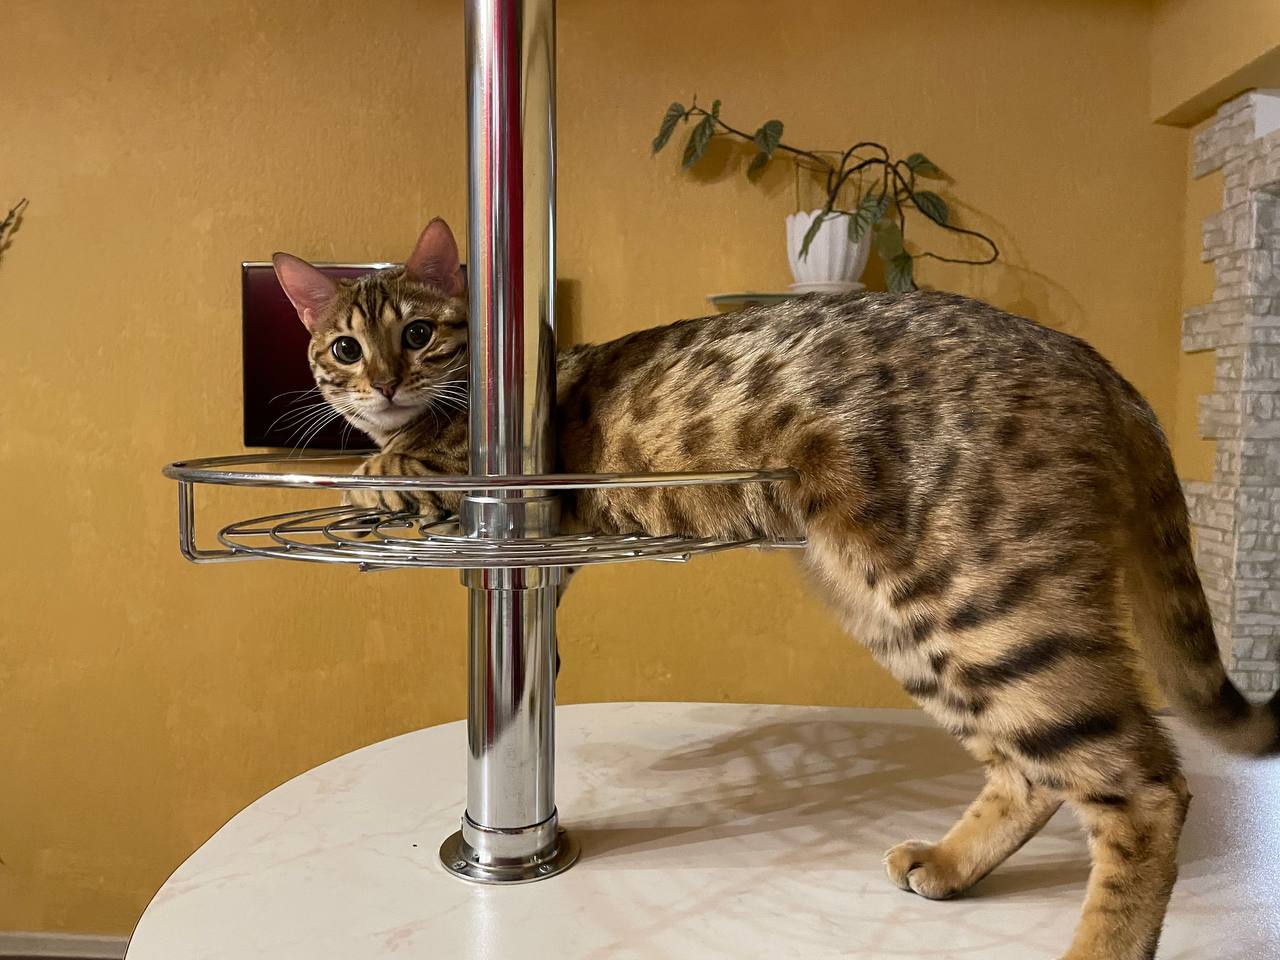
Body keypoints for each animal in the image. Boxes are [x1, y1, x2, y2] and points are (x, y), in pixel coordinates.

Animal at [273, 218, 1280, 960]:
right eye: (345, 347)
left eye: (417, 333)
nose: (384, 384)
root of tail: (1101, 367)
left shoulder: (472, 475)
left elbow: (391, 472)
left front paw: (378, 468)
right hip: (908, 619)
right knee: (1034, 769)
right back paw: (950, 862)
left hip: (988, 600)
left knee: (1144, 787)